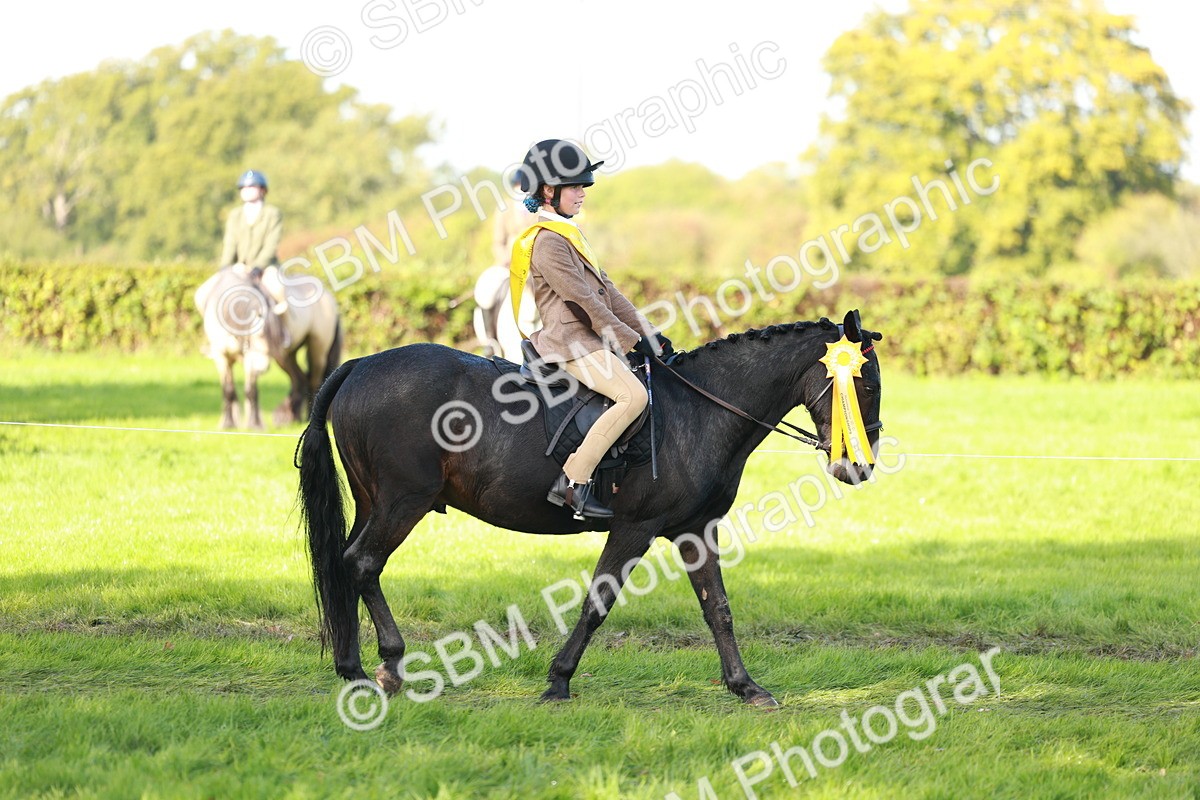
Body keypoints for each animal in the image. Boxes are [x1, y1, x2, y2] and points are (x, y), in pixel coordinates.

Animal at [194, 266, 342, 429]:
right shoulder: (221, 357)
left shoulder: (250, 359)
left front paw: (255, 424)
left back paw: (309, 418)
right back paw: (293, 418)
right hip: (286, 357)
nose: (262, 368)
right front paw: (228, 423)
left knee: (315, 381)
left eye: (273, 337)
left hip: (317, 349)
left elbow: (251, 391)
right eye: (257, 335)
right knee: (299, 379)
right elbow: (228, 390)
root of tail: (329, 296)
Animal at [296, 310, 883, 706]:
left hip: (375, 500)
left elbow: (717, 607)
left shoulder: (696, 530)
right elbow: (598, 602)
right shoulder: (635, 529)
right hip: (403, 501)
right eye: (866, 385)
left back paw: (351, 666)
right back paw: (387, 667)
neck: (698, 411)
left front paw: (746, 686)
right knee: (362, 563)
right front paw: (558, 681)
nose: (860, 466)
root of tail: (361, 364)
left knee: (346, 564)